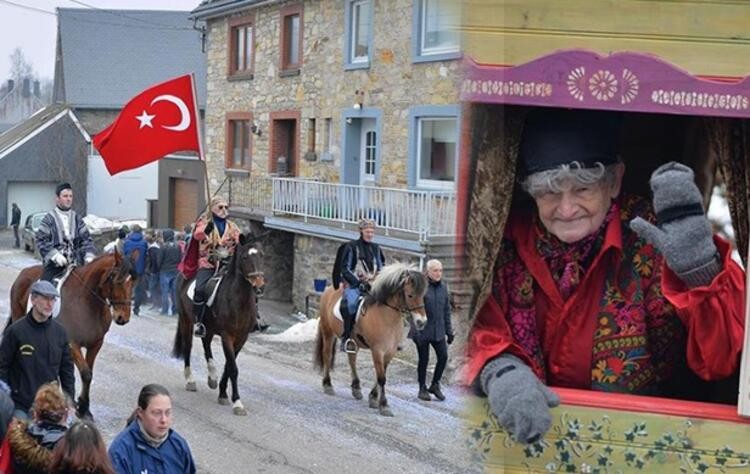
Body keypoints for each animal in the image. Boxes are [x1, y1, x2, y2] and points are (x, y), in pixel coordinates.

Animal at [8, 252, 137, 418]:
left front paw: (84, 407)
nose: (123, 318)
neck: (88, 303)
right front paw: (82, 406)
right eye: (115, 279)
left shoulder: (96, 343)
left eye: (132, 281)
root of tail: (24, 272)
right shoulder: (71, 343)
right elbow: (86, 373)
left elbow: (88, 373)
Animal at [172, 235, 266, 416]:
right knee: (188, 348)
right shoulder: (227, 336)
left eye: (262, 255)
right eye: (245, 257)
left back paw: (212, 378)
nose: (259, 285)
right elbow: (233, 368)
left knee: (206, 346)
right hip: (186, 321)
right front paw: (237, 403)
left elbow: (229, 366)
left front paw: (223, 393)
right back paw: (190, 380)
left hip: (208, 328)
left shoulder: (241, 338)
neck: (239, 301)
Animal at [312, 264, 428, 416]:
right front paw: (383, 405)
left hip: (352, 341)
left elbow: (382, 374)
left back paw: (356, 388)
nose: (422, 322)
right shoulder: (377, 351)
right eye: (410, 295)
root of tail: (330, 289)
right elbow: (381, 378)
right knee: (327, 355)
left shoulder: (389, 352)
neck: (386, 315)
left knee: (352, 360)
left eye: (423, 295)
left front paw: (373, 397)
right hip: (328, 331)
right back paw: (327, 384)